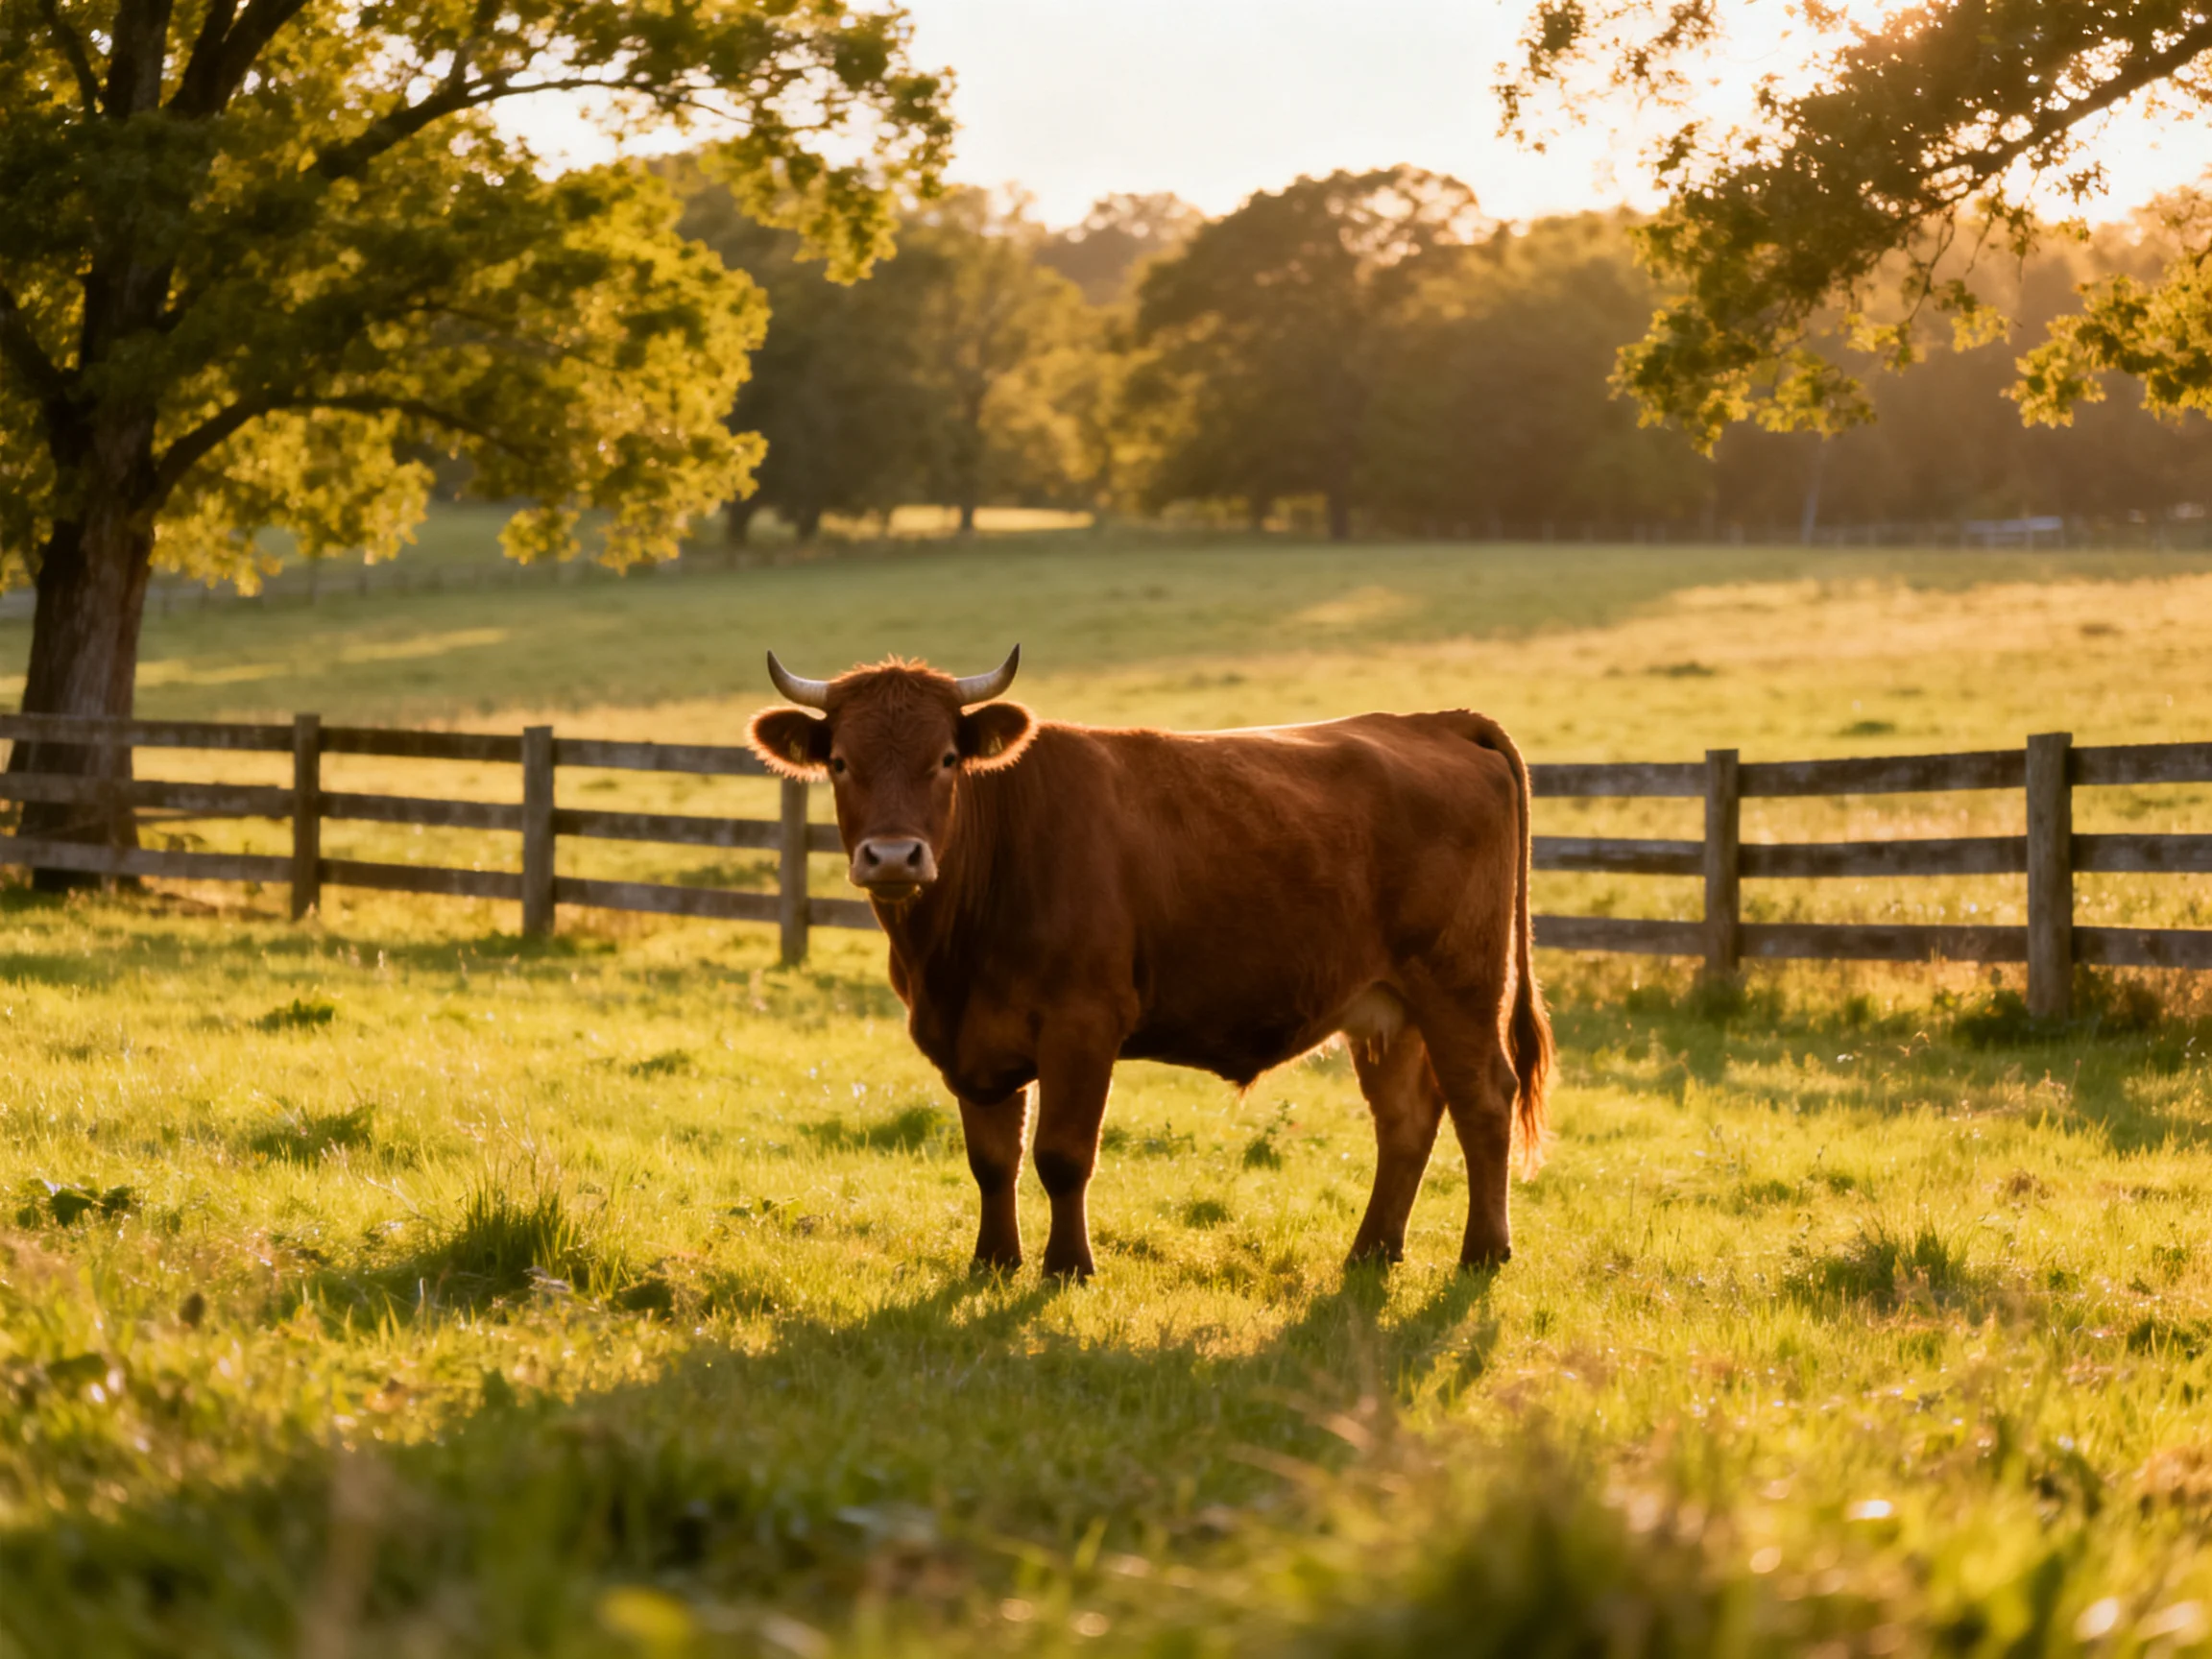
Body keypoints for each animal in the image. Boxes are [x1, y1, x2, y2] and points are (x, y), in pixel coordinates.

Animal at [748, 646, 1552, 1281]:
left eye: (946, 759)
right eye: (840, 763)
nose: (893, 857)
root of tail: (1432, 721)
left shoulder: (1082, 1023)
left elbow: (1063, 1154)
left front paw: (1067, 1267)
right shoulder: (971, 1039)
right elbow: (992, 1159)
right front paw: (994, 1261)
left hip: (1459, 986)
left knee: (1484, 1100)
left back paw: (1484, 1251)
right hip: (1386, 1007)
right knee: (1406, 1119)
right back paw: (1372, 1251)